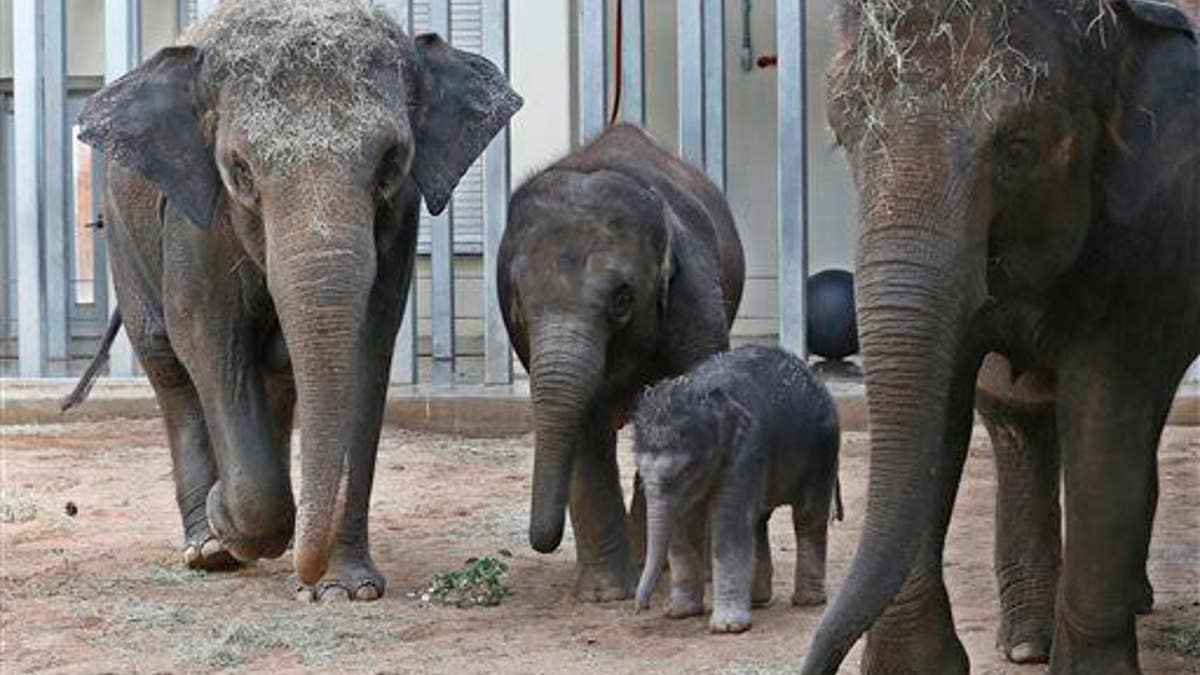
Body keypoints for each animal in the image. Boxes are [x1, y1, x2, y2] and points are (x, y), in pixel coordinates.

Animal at [69, 0, 520, 598]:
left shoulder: (398, 220)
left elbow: (369, 347)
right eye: (239, 169)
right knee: (167, 362)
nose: (311, 576)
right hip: (122, 233)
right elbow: (209, 341)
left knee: (274, 371)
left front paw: (348, 588)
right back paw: (210, 549)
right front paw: (228, 519)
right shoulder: (197, 222)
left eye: (392, 160)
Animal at [494, 124, 739, 598]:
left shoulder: (694, 295)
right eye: (519, 303)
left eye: (623, 299)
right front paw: (605, 594)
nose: (542, 542)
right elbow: (583, 425)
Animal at [633, 343, 840, 634]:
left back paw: (807, 601)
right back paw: (757, 600)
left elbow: (728, 523)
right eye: (640, 472)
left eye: (686, 470)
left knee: (808, 516)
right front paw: (679, 613)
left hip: (823, 452)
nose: (641, 607)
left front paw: (728, 627)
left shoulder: (747, 449)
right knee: (758, 522)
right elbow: (683, 523)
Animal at [801, 1, 1195, 672]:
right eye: (844, 137)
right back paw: (1028, 642)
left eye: (1017, 149)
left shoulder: (1149, 233)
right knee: (1018, 417)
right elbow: (942, 414)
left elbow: (1105, 414)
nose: (816, 663)